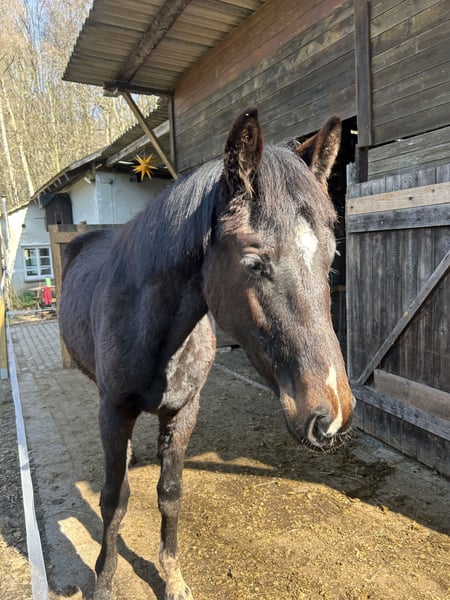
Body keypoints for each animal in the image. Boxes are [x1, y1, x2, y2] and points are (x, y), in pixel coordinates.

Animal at [59, 107, 354, 600]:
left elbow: (170, 494)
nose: (330, 415)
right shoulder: (114, 411)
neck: (156, 332)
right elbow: (114, 501)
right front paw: (103, 581)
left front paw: (173, 577)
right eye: (254, 262)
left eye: (331, 258)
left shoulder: (183, 411)